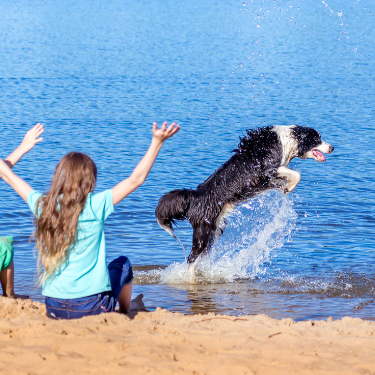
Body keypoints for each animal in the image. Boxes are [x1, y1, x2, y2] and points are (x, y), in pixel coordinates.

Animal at [156, 125, 334, 264]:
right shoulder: (266, 169)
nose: (332, 148)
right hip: (202, 231)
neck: (286, 141)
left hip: (215, 229)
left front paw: (287, 187)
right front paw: (289, 188)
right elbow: (295, 174)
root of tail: (194, 196)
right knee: (191, 258)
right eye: (317, 139)